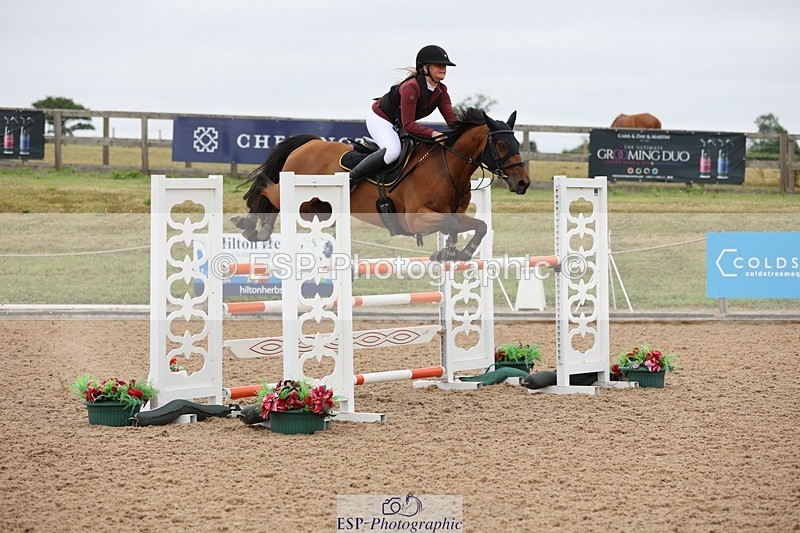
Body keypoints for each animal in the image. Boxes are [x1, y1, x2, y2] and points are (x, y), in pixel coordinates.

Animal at [232, 108, 531, 261]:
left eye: (516, 141)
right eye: (501, 145)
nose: (523, 183)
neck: (448, 168)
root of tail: (309, 144)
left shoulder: (453, 214)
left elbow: (478, 226)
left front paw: (458, 253)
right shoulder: (415, 219)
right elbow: (453, 225)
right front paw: (451, 252)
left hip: (318, 209)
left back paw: (259, 230)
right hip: (301, 199)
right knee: (265, 187)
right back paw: (251, 225)